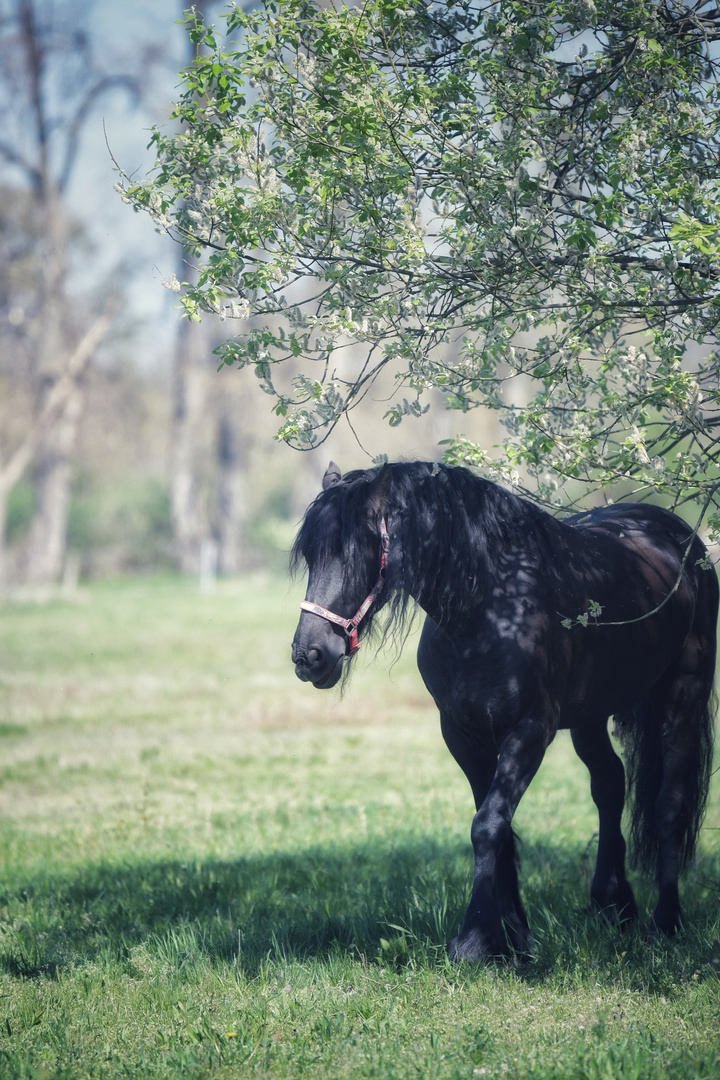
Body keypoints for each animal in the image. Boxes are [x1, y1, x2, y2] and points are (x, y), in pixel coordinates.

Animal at [289, 464, 716, 963]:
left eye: (358, 551)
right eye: (311, 555)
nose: (309, 655)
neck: (487, 612)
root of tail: (677, 535)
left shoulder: (529, 731)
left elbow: (489, 825)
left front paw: (476, 938)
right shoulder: (462, 735)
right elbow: (497, 827)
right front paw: (513, 936)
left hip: (682, 697)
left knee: (670, 805)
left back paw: (665, 923)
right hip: (590, 714)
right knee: (610, 786)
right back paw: (614, 906)